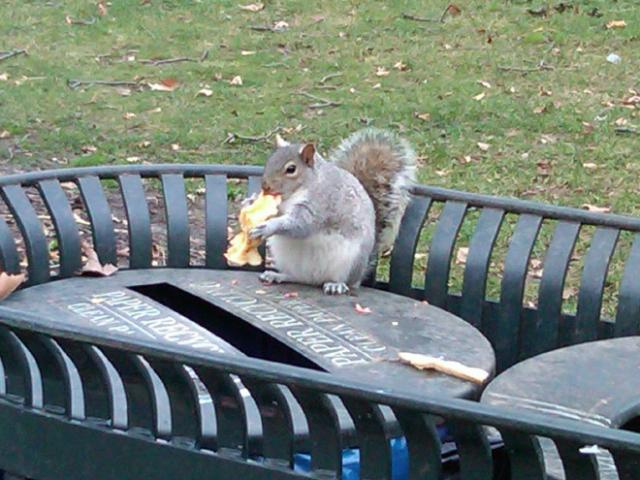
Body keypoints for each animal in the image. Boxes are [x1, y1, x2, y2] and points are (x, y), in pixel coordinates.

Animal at [248, 127, 418, 294]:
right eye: (270, 160)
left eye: (291, 169)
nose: (265, 186)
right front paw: (250, 201)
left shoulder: (321, 203)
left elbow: (301, 224)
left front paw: (269, 226)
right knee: (297, 276)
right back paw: (278, 275)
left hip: (350, 262)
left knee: (345, 281)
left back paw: (336, 285)